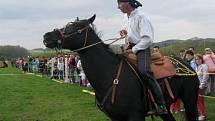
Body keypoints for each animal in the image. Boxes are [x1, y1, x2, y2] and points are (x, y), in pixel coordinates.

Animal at [42, 15, 199, 121]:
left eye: (76, 27)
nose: (47, 36)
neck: (110, 74)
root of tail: (186, 64)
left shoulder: (135, 116)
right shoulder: (115, 117)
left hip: (190, 100)